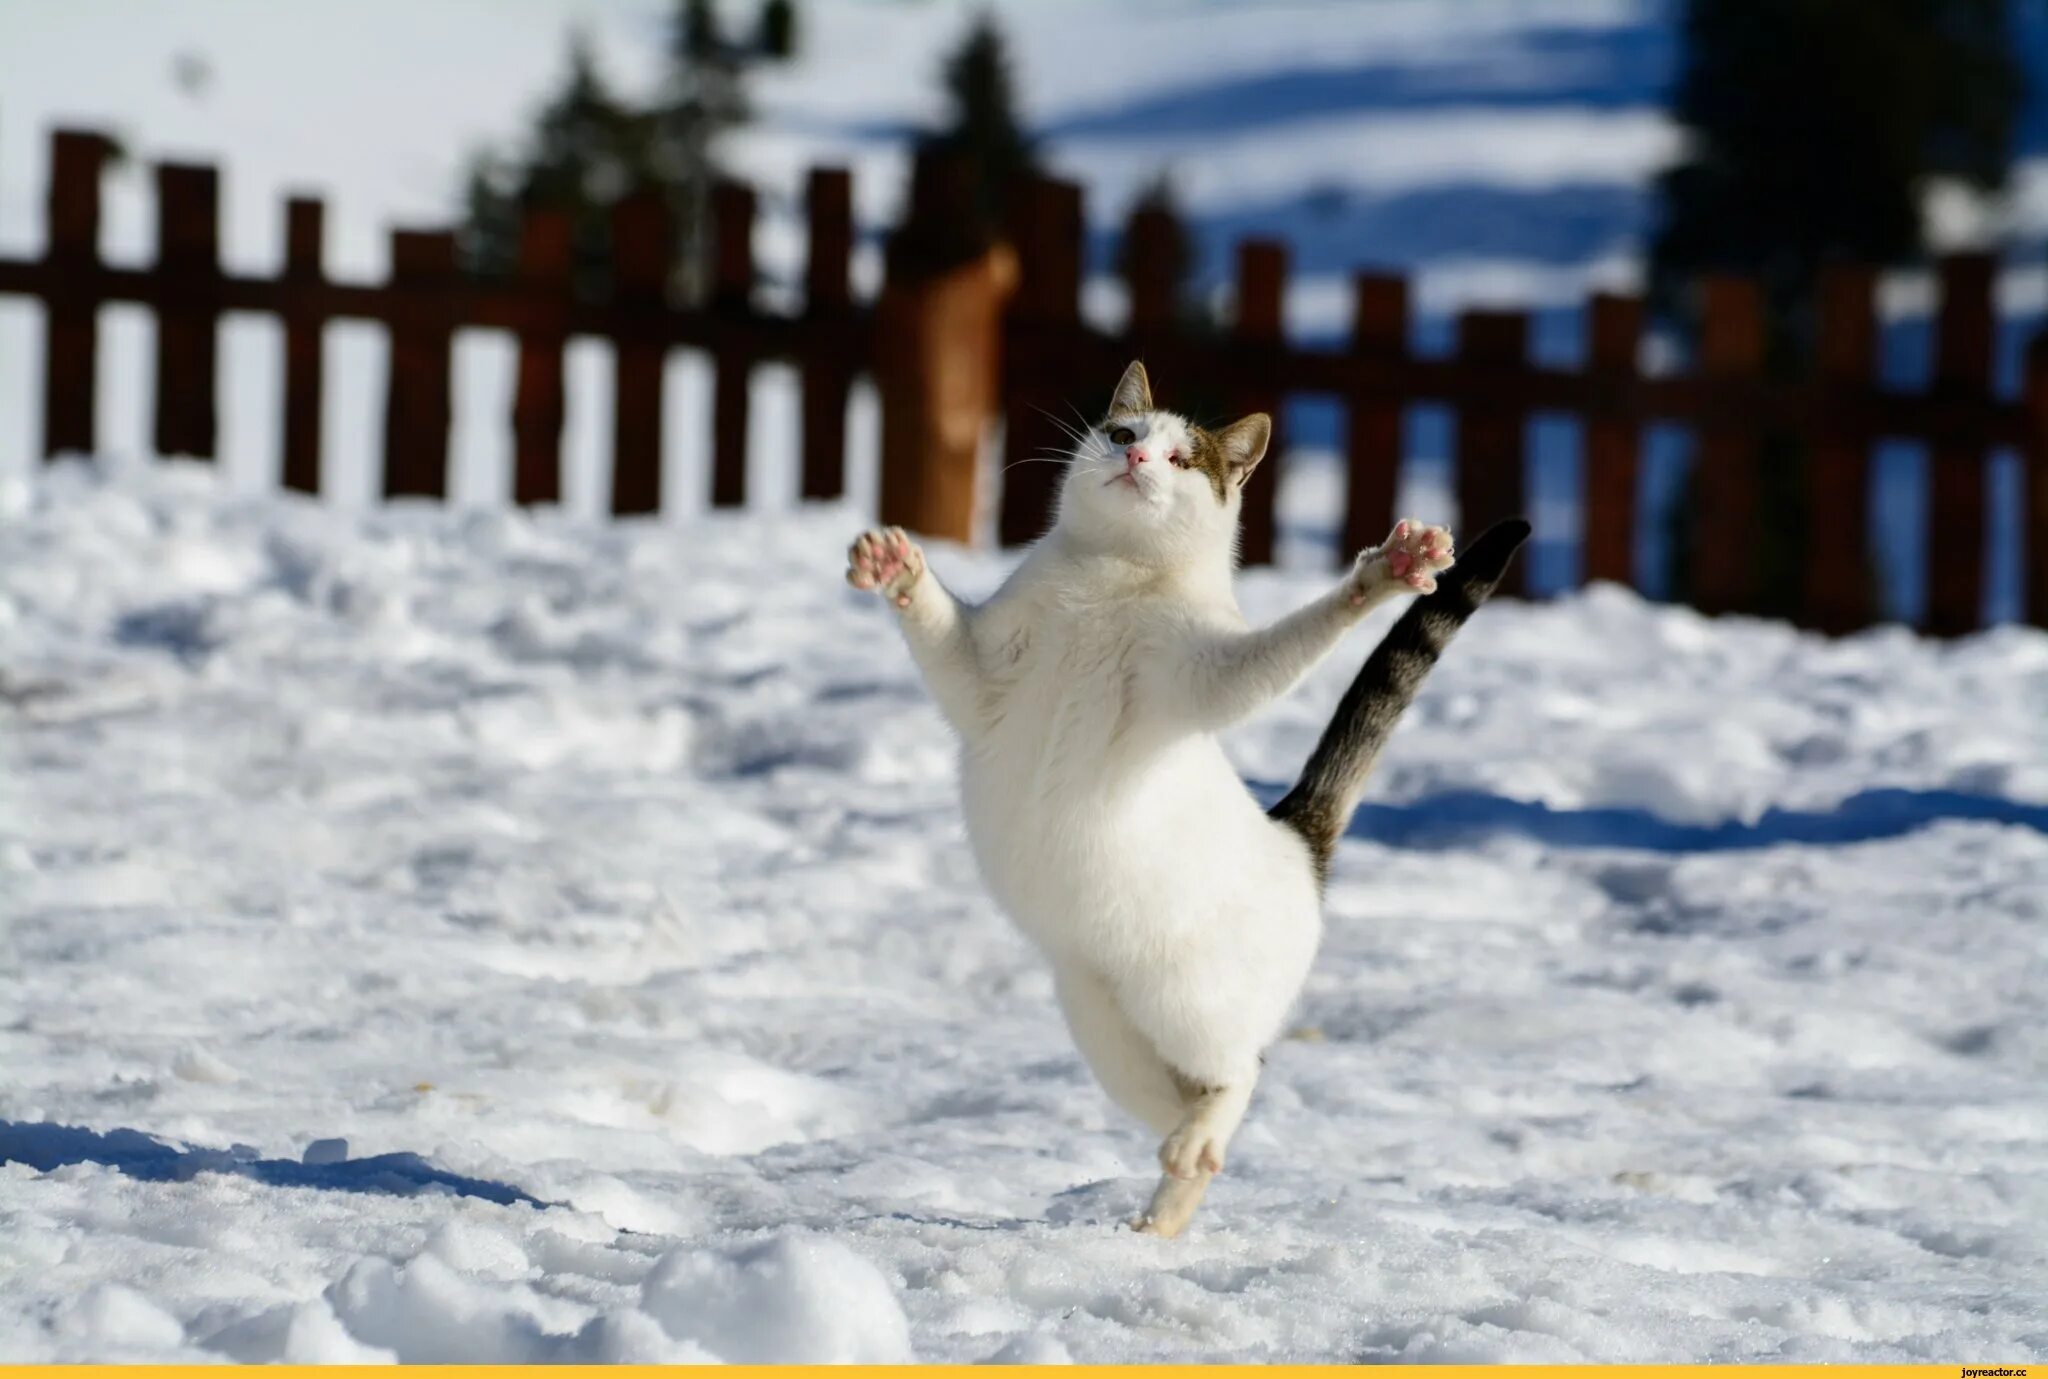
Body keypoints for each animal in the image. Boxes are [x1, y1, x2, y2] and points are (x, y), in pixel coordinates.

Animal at [839, 358, 1531, 1237]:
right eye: (1123, 432)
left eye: (1180, 459)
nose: (1135, 459)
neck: (1114, 578)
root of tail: (1296, 841)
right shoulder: (981, 670)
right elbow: (939, 632)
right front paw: (896, 568)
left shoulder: (1201, 674)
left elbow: (1285, 649)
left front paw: (1382, 574)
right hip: (1104, 1027)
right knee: (1187, 1117)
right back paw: (1165, 1207)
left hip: (1189, 1007)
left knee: (1240, 1075)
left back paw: (1192, 1153)